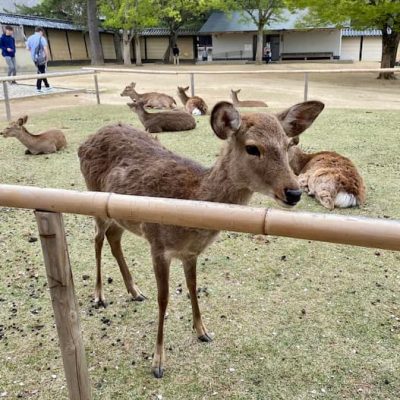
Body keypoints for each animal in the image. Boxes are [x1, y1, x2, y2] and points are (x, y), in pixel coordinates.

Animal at [77, 98, 324, 376]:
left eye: (289, 144)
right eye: (252, 148)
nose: (293, 192)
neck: (192, 197)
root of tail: (84, 142)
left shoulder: (190, 252)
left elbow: (193, 287)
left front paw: (202, 331)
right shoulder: (157, 244)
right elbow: (164, 298)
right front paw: (158, 362)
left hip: (119, 216)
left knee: (113, 237)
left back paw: (135, 291)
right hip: (95, 198)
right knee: (97, 238)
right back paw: (99, 296)